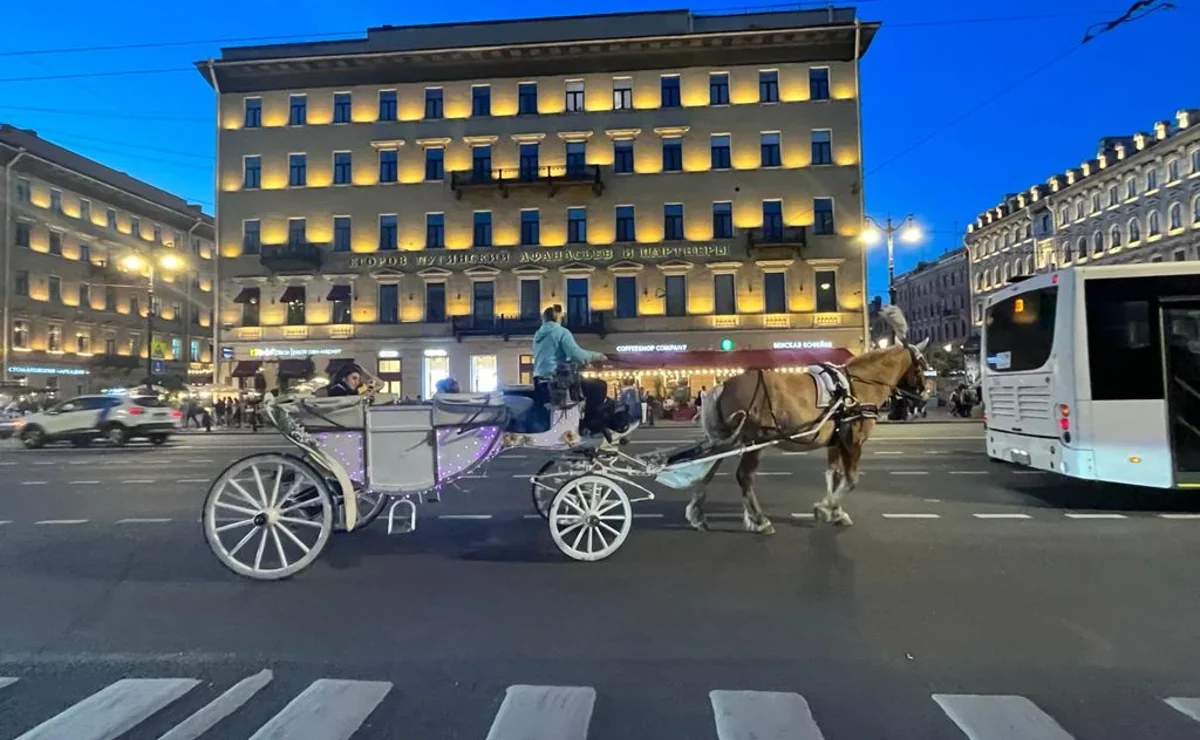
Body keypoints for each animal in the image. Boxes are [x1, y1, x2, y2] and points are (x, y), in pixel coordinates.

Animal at [686, 303, 926, 534]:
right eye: (922, 365)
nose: (923, 395)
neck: (857, 386)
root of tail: (724, 385)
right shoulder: (853, 441)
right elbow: (850, 480)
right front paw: (824, 509)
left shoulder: (836, 442)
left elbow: (835, 475)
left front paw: (835, 512)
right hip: (755, 441)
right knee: (743, 476)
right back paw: (760, 520)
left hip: (729, 439)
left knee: (709, 467)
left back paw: (698, 514)